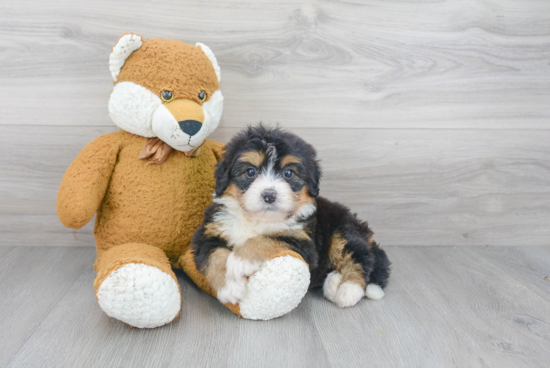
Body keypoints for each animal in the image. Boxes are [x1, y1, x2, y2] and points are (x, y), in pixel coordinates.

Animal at [194, 126, 392, 308]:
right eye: (250, 172)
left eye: (288, 173)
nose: (269, 195)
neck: (257, 219)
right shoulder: (207, 232)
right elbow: (215, 256)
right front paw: (228, 287)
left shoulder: (302, 242)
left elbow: (266, 238)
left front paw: (240, 260)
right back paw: (333, 283)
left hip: (343, 230)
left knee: (358, 258)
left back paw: (348, 290)